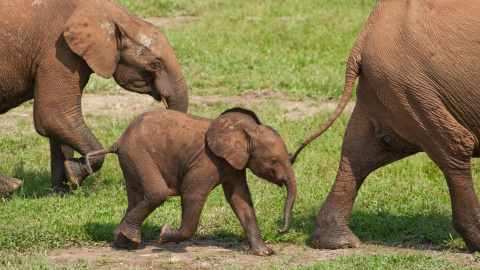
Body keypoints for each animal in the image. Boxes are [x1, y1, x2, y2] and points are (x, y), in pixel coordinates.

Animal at [1, 0, 189, 198]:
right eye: (155, 64)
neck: (108, 14)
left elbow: (58, 125)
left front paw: (62, 192)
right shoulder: (58, 51)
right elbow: (54, 116)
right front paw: (75, 175)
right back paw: (12, 187)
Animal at [84, 107, 298, 255]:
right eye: (274, 161)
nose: (279, 230)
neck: (244, 130)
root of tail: (118, 141)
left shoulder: (235, 164)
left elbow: (240, 199)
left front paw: (265, 252)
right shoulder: (207, 161)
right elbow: (192, 193)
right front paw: (164, 234)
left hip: (132, 160)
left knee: (135, 197)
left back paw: (125, 244)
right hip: (138, 155)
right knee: (157, 193)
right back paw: (131, 240)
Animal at [290, 0, 480, 251]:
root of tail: (368, 28)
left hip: (391, 85)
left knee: (360, 151)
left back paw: (339, 242)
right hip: (410, 83)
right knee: (454, 146)